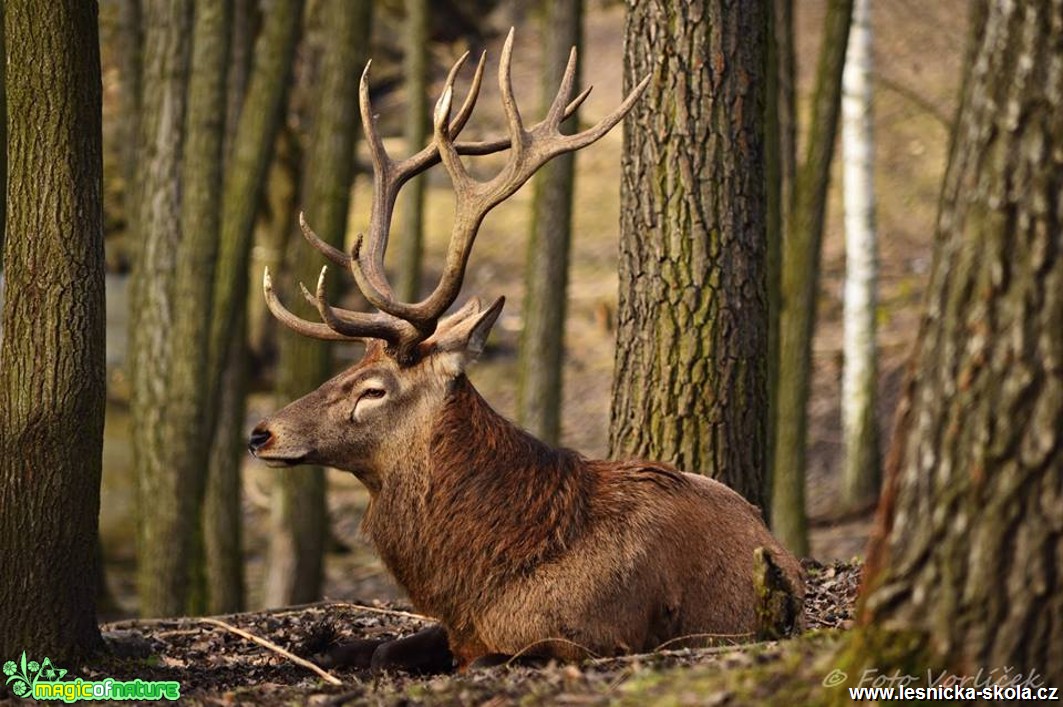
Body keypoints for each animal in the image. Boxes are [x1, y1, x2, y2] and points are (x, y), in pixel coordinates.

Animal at [246, 31, 799, 671]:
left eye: (372, 389)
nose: (261, 432)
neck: (489, 576)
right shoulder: (456, 629)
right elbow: (383, 647)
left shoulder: (590, 635)